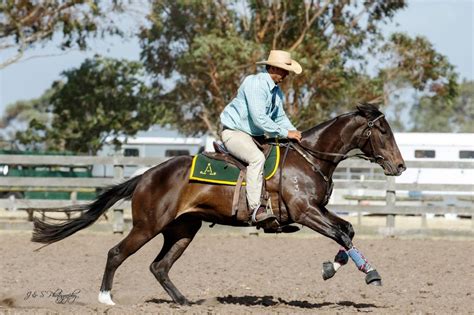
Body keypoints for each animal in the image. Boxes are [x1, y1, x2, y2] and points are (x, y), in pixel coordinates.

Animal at [31, 103, 406, 306]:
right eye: (383, 131)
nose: (400, 166)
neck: (310, 159)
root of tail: (147, 175)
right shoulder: (307, 213)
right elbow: (342, 234)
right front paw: (371, 274)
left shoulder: (318, 210)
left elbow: (348, 230)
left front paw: (332, 268)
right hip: (147, 226)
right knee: (116, 253)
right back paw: (105, 298)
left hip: (182, 230)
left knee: (159, 266)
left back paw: (184, 301)